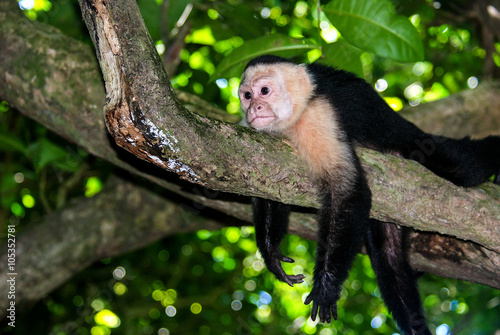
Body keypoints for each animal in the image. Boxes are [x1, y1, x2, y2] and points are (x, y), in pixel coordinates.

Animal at [238, 55, 500, 335]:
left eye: (265, 91)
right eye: (247, 95)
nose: (254, 108)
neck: (295, 117)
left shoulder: (319, 116)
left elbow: (348, 193)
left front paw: (326, 287)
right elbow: (266, 187)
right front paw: (271, 253)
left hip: (412, 140)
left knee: (463, 166)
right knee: (388, 255)